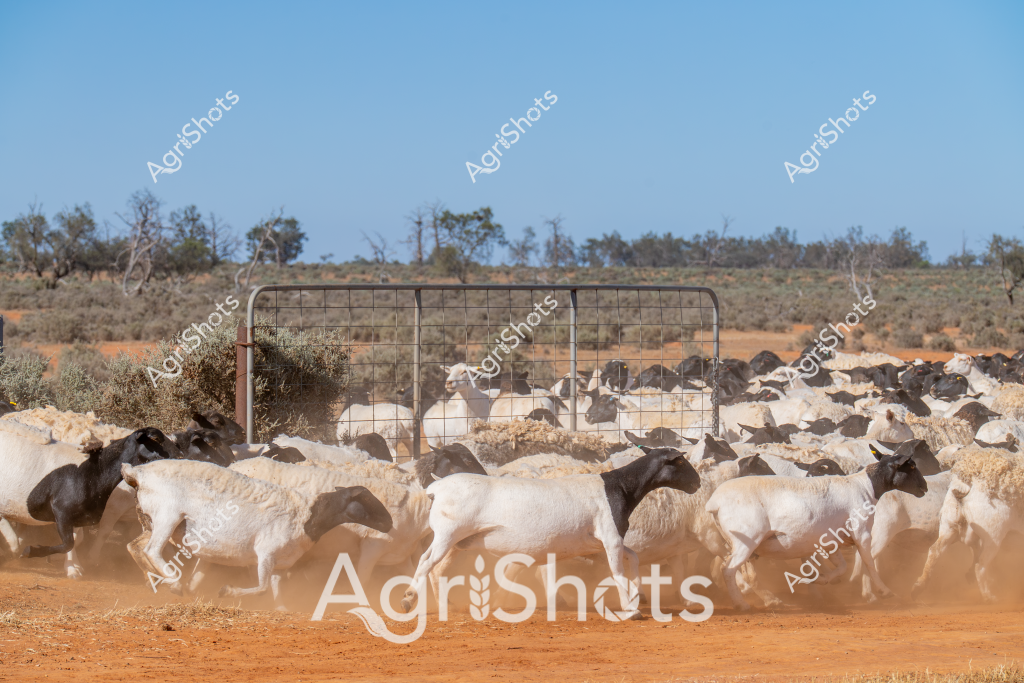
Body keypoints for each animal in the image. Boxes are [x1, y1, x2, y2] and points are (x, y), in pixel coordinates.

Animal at [123, 459, 392, 607]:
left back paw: (157, 582)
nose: (390, 523)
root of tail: (137, 473)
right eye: (367, 500)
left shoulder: (279, 562)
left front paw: (282, 609)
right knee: (152, 551)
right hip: (167, 516)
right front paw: (227, 591)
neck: (308, 514)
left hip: (151, 521)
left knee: (135, 547)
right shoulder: (266, 553)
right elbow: (262, 587)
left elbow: (274, 587)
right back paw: (173, 583)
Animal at [400, 446, 701, 619]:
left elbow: (634, 557)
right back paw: (408, 599)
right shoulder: (611, 538)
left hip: (459, 542)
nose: (697, 483)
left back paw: (446, 607)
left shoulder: (603, 541)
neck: (620, 487)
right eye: (680, 463)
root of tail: (435, 488)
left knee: (437, 569)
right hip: (447, 535)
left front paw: (638, 593)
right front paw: (631, 609)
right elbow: (618, 571)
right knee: (425, 562)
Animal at [706, 450, 927, 610]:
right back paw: (741, 604)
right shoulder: (862, 533)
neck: (867, 487)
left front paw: (820, 579)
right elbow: (868, 562)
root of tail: (714, 502)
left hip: (740, 544)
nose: (925, 487)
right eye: (912, 465)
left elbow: (842, 567)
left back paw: (770, 600)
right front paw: (884, 591)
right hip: (746, 540)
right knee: (728, 570)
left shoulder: (831, 540)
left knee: (746, 574)